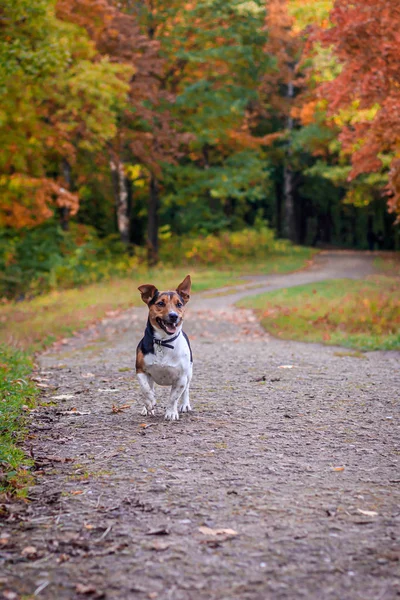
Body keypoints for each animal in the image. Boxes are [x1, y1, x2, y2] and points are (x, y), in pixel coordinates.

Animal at [136, 276, 194, 420]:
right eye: (161, 303)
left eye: (179, 304)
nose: (174, 316)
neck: (163, 341)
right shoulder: (140, 370)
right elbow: (145, 389)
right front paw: (149, 402)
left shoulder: (181, 378)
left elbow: (173, 397)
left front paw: (171, 412)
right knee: (150, 386)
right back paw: (146, 408)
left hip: (189, 373)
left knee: (186, 390)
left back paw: (185, 405)